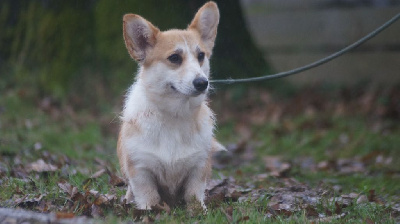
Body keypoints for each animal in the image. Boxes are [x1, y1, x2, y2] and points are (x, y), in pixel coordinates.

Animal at [117, 2, 225, 210]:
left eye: (201, 56)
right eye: (175, 58)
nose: (202, 83)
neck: (175, 114)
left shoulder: (198, 168)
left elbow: (194, 196)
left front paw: (199, 211)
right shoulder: (141, 170)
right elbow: (148, 198)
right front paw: (148, 211)